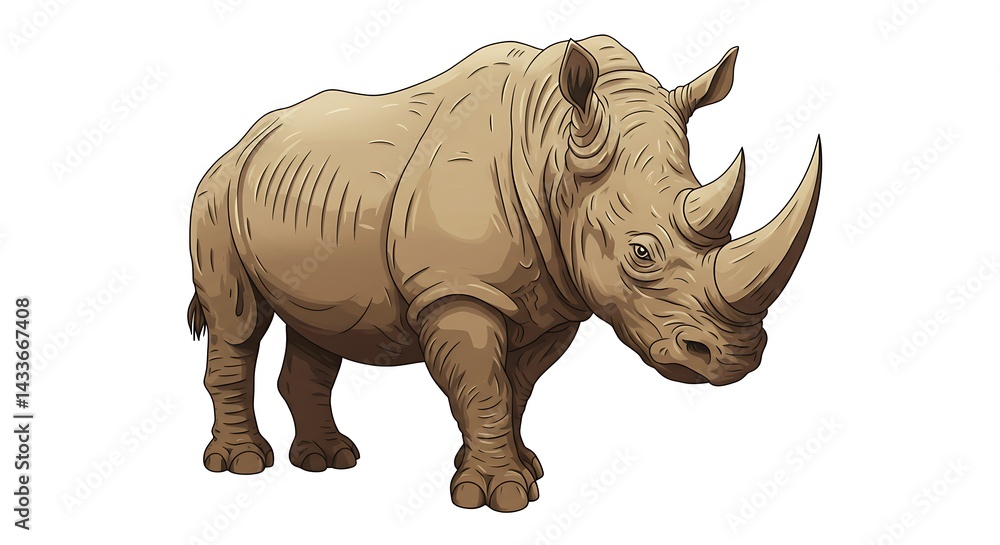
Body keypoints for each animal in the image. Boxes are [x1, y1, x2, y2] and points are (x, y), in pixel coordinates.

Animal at [187, 35, 821, 512]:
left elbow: (514, 387)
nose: (736, 358)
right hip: (215, 193)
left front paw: (519, 470)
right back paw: (242, 466)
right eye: (642, 253)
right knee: (236, 322)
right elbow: (482, 384)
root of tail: (243, 139)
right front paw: (499, 497)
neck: (556, 153)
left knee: (319, 329)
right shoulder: (458, 290)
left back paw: (328, 462)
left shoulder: (557, 300)